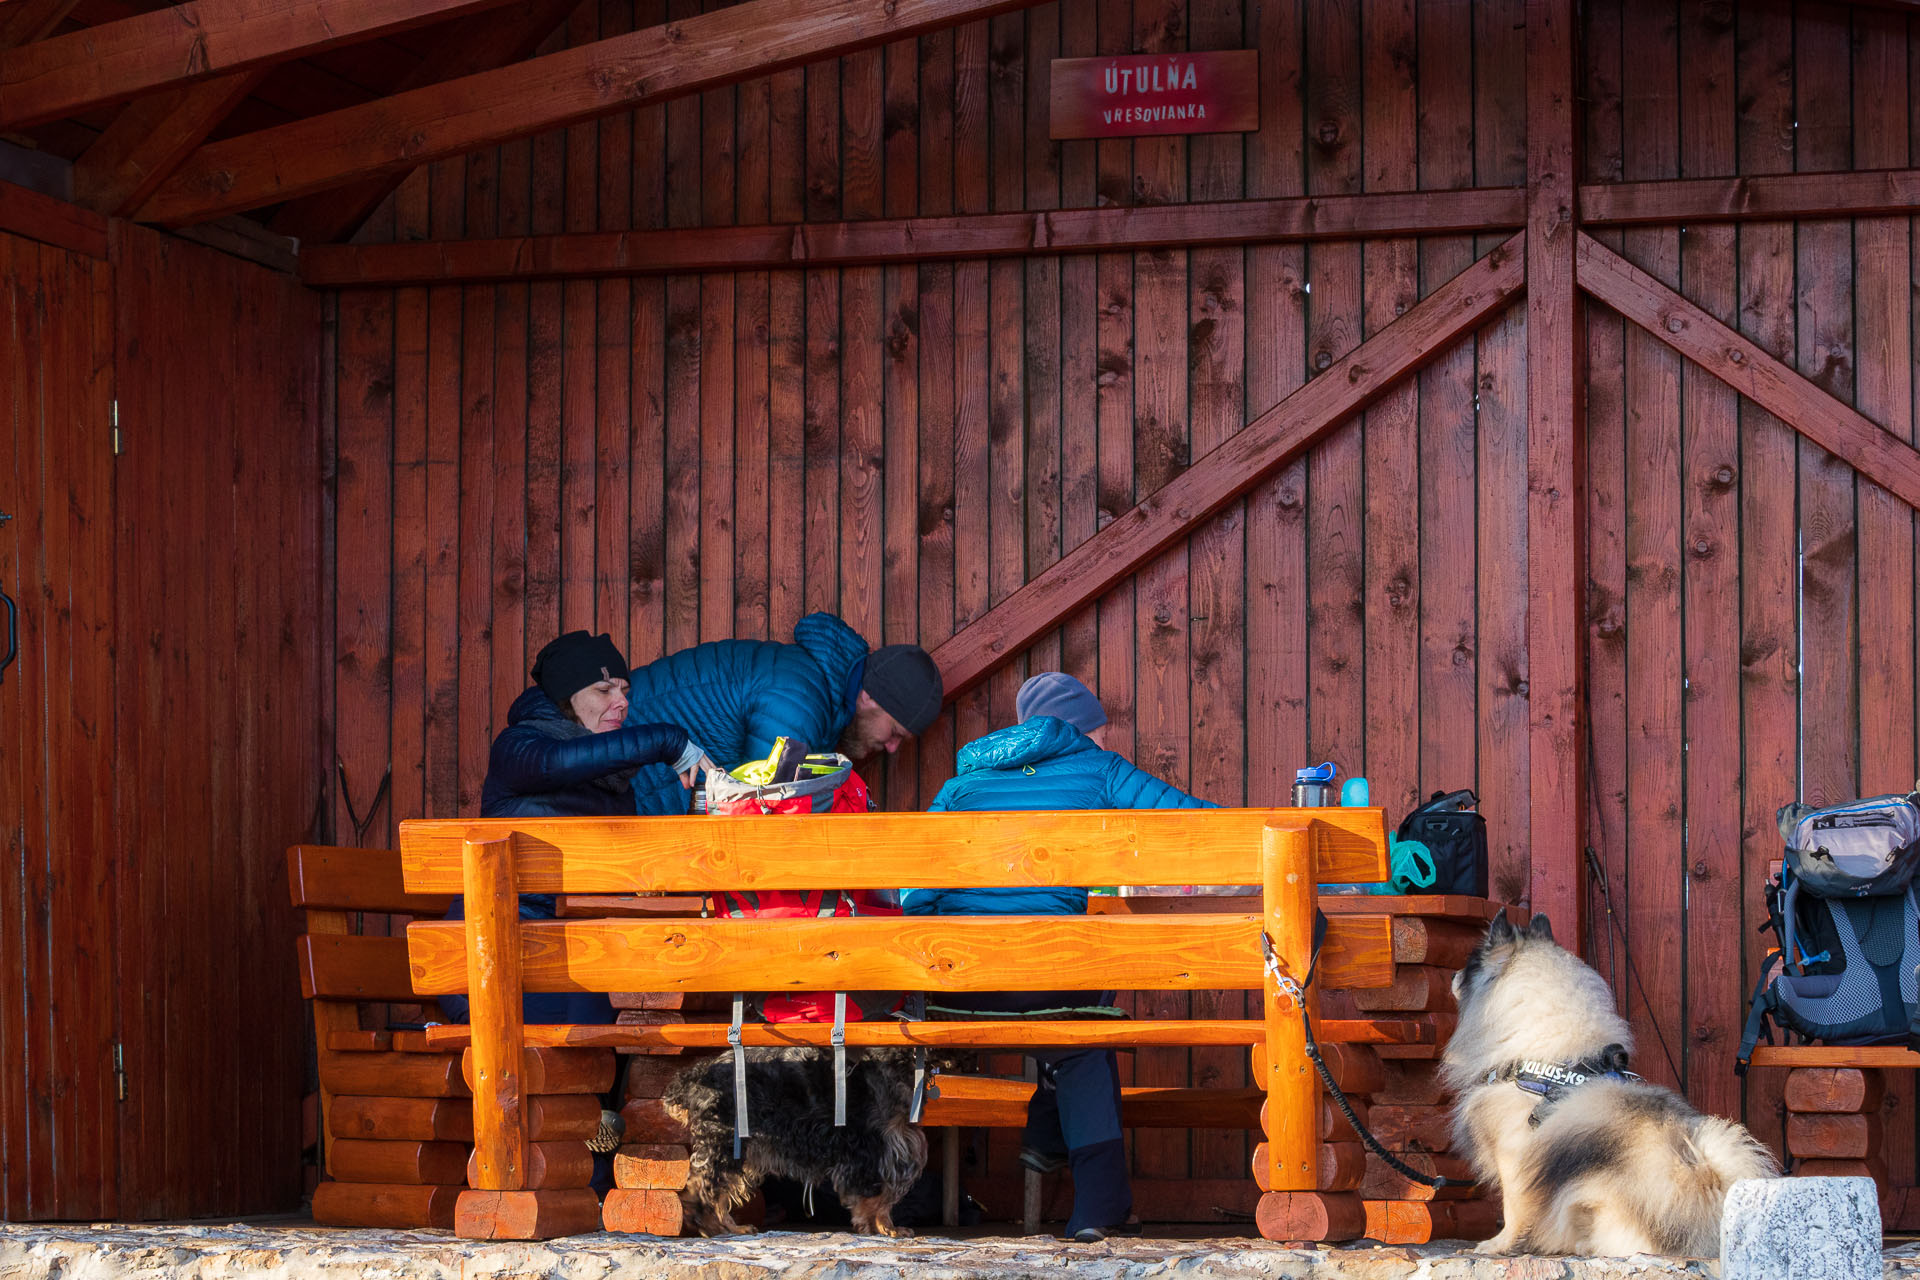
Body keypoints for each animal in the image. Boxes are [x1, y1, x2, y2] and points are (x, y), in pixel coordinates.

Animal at [664, 1043, 925, 1235]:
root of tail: (695, 1075)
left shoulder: (894, 1147)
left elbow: (884, 1195)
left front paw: (887, 1227)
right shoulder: (873, 1147)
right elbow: (876, 1196)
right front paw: (879, 1228)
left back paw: (731, 1227)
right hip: (725, 1139)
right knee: (704, 1186)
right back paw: (713, 1226)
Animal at [1436, 917, 1774, 1258]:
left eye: (1470, 965)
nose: (1450, 975)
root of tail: (1706, 1185)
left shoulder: (1514, 1159)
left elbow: (1512, 1211)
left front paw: (1496, 1245)